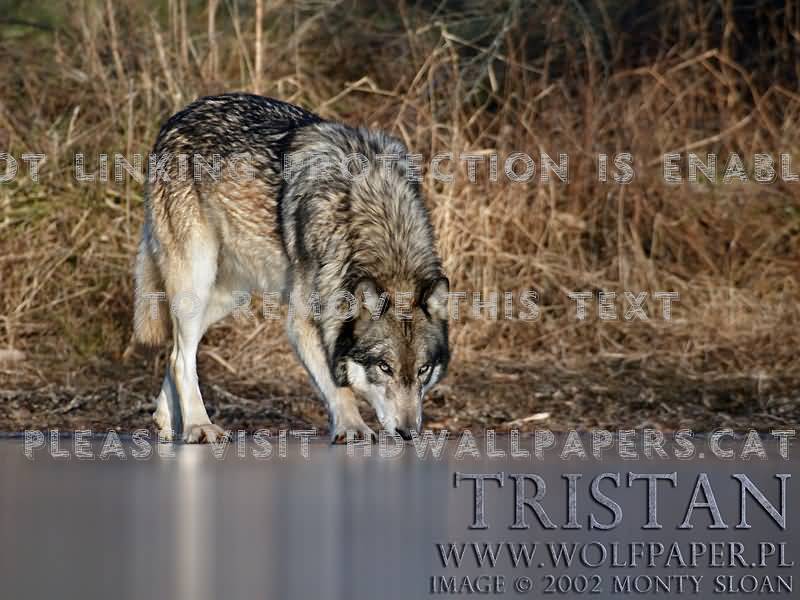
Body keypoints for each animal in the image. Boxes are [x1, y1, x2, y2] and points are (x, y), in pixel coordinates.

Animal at [133, 93, 450, 443]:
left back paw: (167, 420)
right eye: (384, 367)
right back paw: (198, 425)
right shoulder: (304, 322)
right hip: (196, 280)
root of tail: (179, 115)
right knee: (180, 357)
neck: (377, 221)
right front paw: (353, 428)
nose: (409, 433)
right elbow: (338, 386)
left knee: (177, 351)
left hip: (228, 295)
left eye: (423, 370)